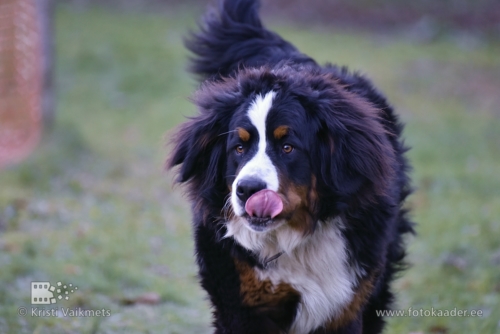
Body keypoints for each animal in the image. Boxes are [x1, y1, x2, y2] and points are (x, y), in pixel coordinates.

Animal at [168, 1, 414, 332]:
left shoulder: (345, 304)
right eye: (239, 147)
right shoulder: (242, 301)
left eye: (288, 147)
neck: (295, 239)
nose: (247, 189)